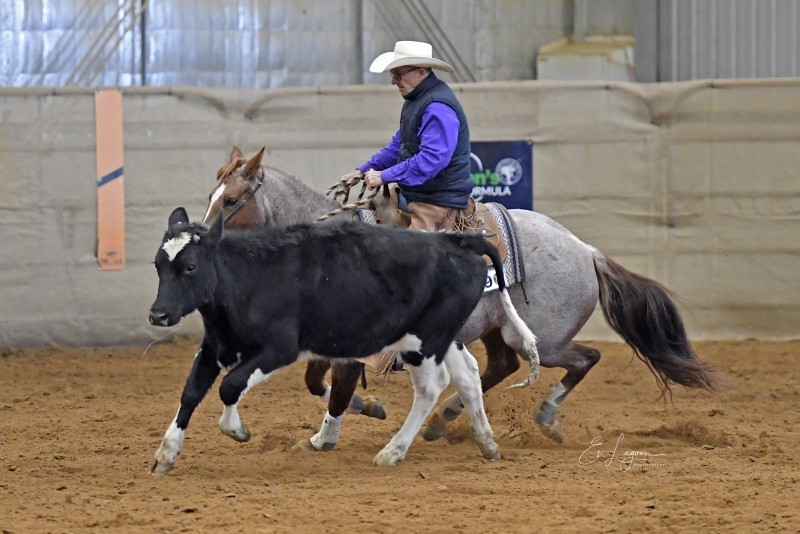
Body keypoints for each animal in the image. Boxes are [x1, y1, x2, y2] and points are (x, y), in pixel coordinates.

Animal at [148, 207, 538, 473]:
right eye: (158, 266)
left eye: (190, 267)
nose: (158, 315)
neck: (247, 277)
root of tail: (455, 240)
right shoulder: (214, 346)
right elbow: (191, 392)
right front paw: (166, 454)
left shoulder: (277, 349)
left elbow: (229, 387)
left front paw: (238, 430)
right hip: (444, 336)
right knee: (468, 376)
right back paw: (487, 444)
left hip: (424, 342)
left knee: (431, 387)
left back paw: (393, 451)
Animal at [202, 146, 719, 444]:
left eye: (231, 201)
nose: (204, 243)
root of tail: (584, 250)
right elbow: (317, 382)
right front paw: (368, 408)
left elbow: (336, 387)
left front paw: (324, 437)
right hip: (495, 328)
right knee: (502, 366)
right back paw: (443, 418)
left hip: (542, 339)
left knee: (584, 358)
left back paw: (546, 416)